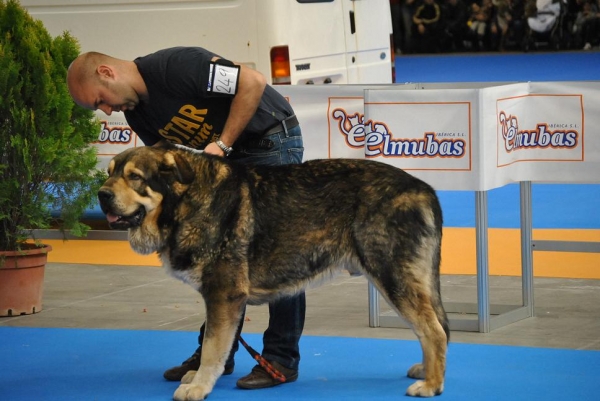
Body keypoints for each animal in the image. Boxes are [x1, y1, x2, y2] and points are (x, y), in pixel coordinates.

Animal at [97, 142, 446, 398]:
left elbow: (212, 346)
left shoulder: (223, 295)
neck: (186, 201)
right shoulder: (226, 299)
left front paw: (199, 387)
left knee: (434, 331)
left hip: (392, 277)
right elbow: (219, 343)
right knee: (430, 327)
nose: (102, 194)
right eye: (109, 173)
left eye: (135, 177)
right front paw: (198, 377)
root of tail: (424, 189)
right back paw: (427, 372)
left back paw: (432, 385)